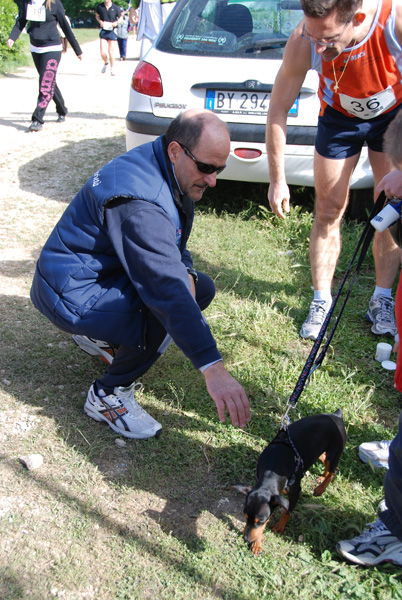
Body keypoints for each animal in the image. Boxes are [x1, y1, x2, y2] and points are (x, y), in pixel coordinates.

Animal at [231, 410, 348, 556]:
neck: (273, 467)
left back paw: (321, 488)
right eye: (245, 516)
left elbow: (287, 512)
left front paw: (279, 526)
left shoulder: (295, 492)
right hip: (318, 451)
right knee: (327, 462)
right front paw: (257, 544)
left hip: (334, 452)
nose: (246, 539)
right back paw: (322, 478)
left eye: (260, 520)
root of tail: (336, 415)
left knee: (332, 471)